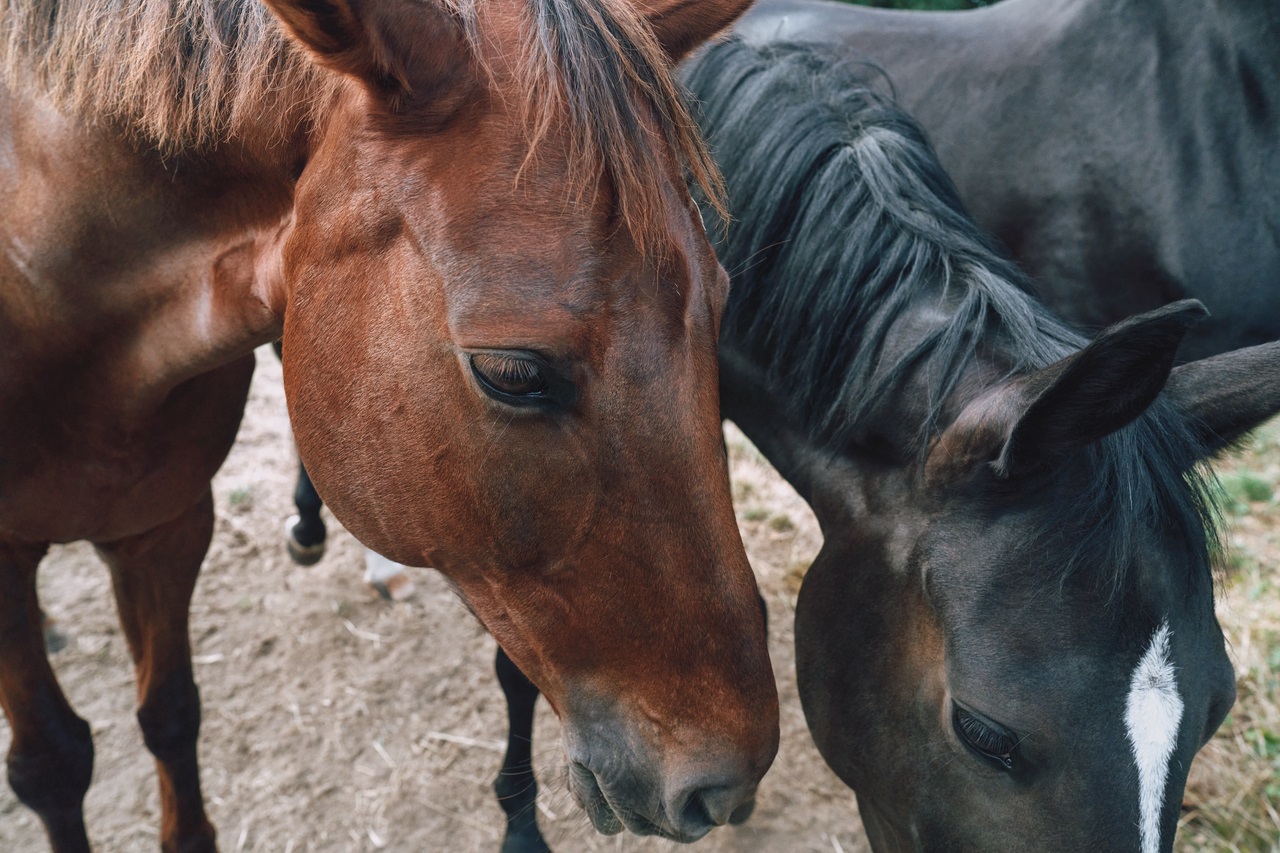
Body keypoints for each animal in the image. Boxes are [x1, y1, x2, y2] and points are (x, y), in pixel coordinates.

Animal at [0, 3, 778, 845]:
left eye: (720, 300)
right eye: (512, 372)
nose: (726, 784)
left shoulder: (165, 526)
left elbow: (171, 714)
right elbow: (53, 763)